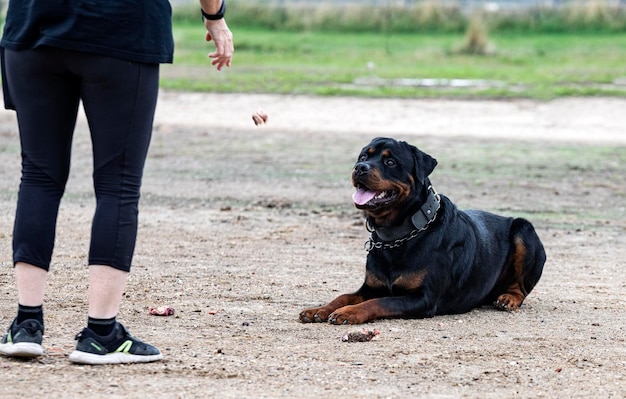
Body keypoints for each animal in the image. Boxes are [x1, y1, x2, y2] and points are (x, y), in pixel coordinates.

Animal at [300, 138, 544, 324]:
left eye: (390, 161)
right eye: (362, 158)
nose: (360, 168)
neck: (397, 234)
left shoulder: (423, 298)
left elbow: (380, 301)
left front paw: (349, 313)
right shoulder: (370, 287)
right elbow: (344, 296)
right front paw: (319, 309)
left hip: (524, 230)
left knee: (521, 288)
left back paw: (508, 299)